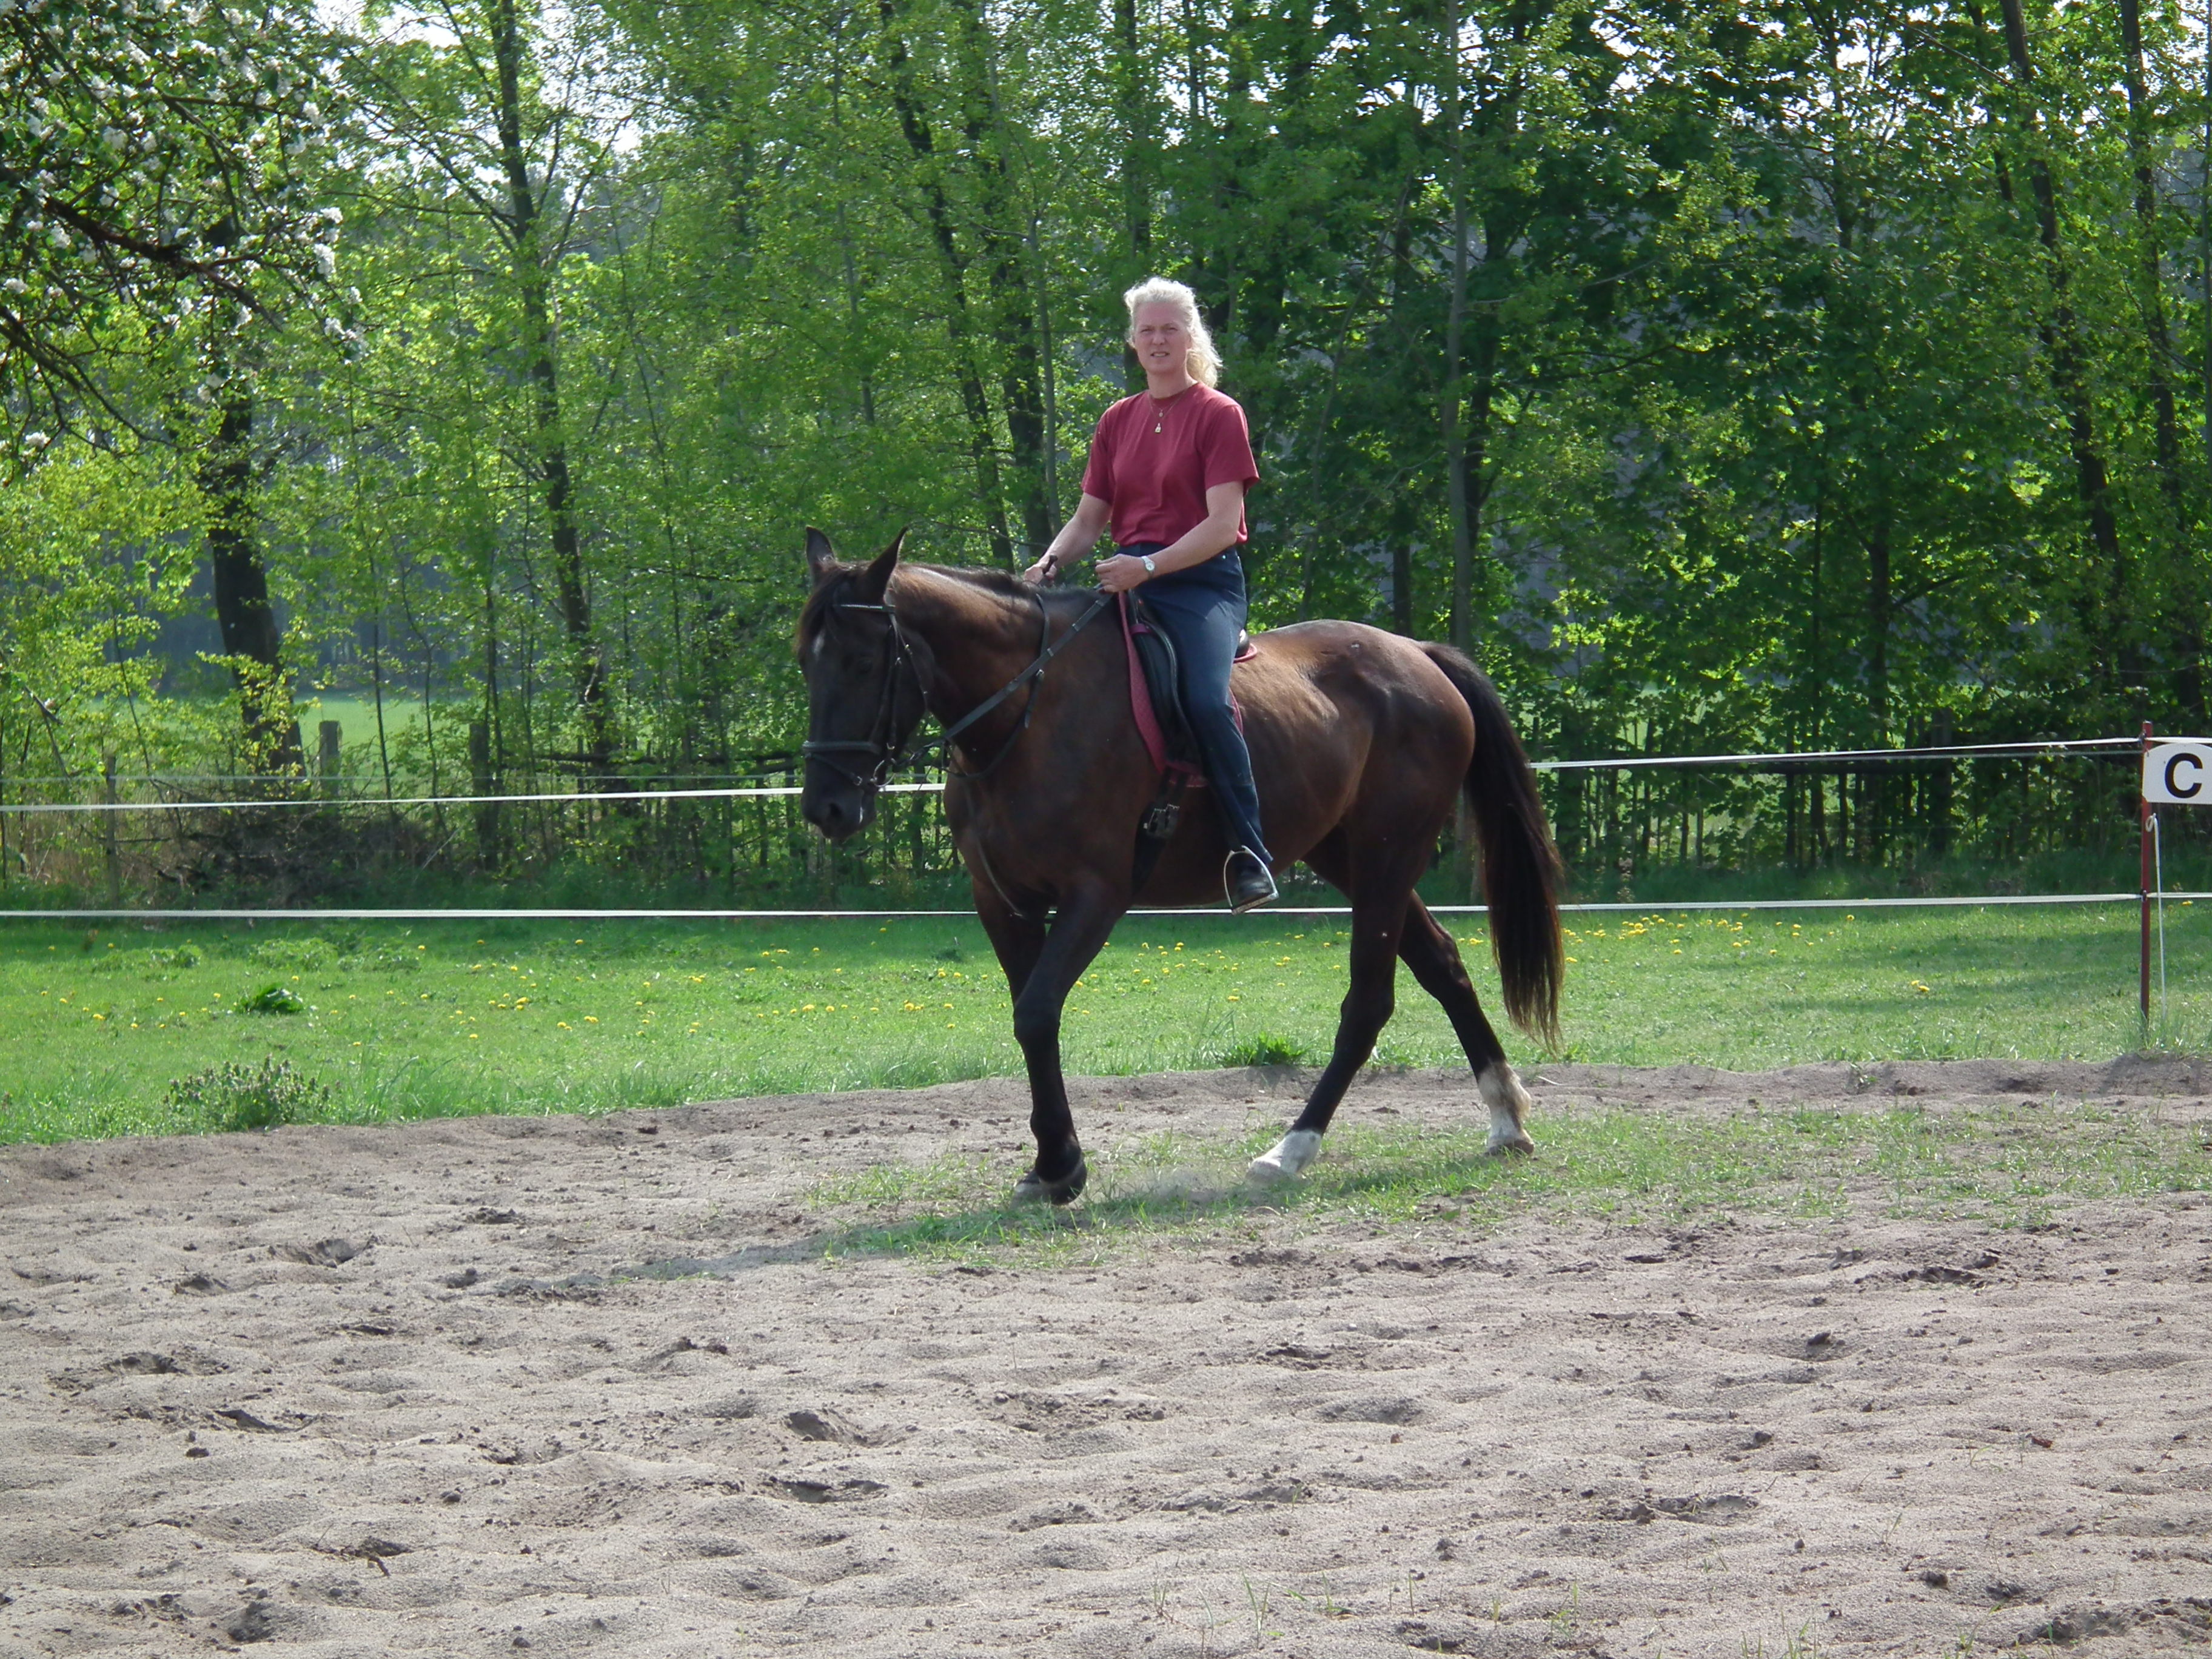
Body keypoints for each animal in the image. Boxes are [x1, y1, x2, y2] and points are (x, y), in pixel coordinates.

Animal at [796, 540, 1557, 1203]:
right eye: (806, 662)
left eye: (862, 662)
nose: (826, 806)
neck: (1027, 714)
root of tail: (1417, 655)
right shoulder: (1004, 903)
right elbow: (1029, 1016)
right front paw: (1051, 1164)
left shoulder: (1094, 895)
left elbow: (1037, 1014)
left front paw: (1062, 1167)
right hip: (1349, 855)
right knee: (1443, 964)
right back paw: (1504, 1119)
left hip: (1386, 855)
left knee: (1369, 1002)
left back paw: (1291, 1150)